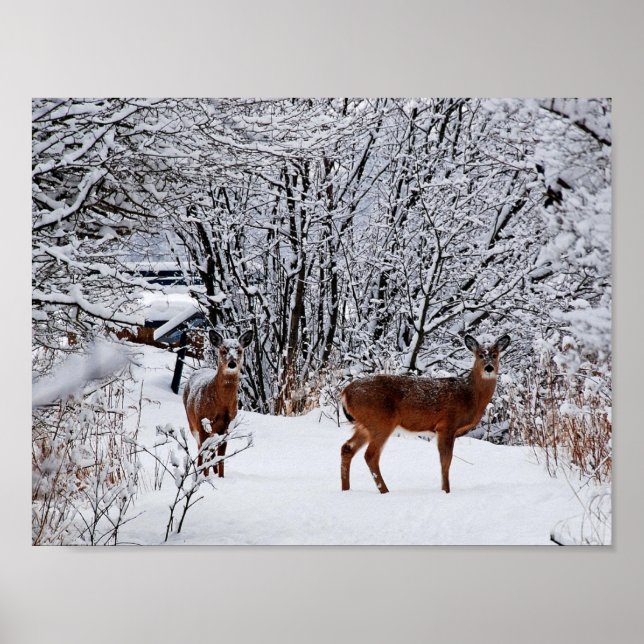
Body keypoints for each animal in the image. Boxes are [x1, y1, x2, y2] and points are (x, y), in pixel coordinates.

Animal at [183, 329, 254, 477]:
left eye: (239, 350)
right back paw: (200, 472)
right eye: (223, 350)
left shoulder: (228, 425)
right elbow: (205, 453)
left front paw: (221, 477)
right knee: (201, 450)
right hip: (192, 423)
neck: (221, 404)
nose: (232, 363)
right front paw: (204, 477)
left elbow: (221, 456)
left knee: (211, 451)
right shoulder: (203, 421)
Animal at [340, 333, 511, 494]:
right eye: (480, 355)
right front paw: (446, 491)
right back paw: (385, 491)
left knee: (347, 448)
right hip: (380, 421)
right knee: (370, 455)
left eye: (495, 354)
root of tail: (345, 393)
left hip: (365, 424)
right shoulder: (447, 424)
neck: (470, 395)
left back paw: (346, 489)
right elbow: (445, 461)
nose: (489, 368)